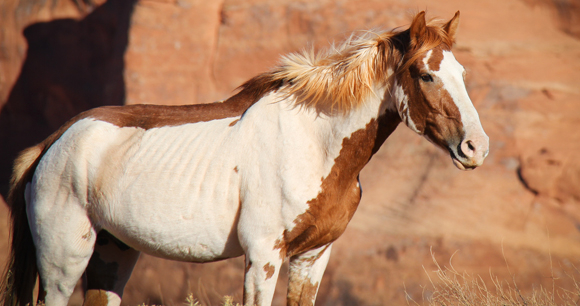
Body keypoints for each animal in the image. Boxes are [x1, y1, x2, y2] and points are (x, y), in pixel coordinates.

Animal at [0, 10, 490, 306]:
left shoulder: (313, 257)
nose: (476, 148)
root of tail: (53, 142)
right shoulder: (263, 256)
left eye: (462, 73)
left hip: (113, 251)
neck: (314, 143)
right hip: (63, 259)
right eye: (425, 74)